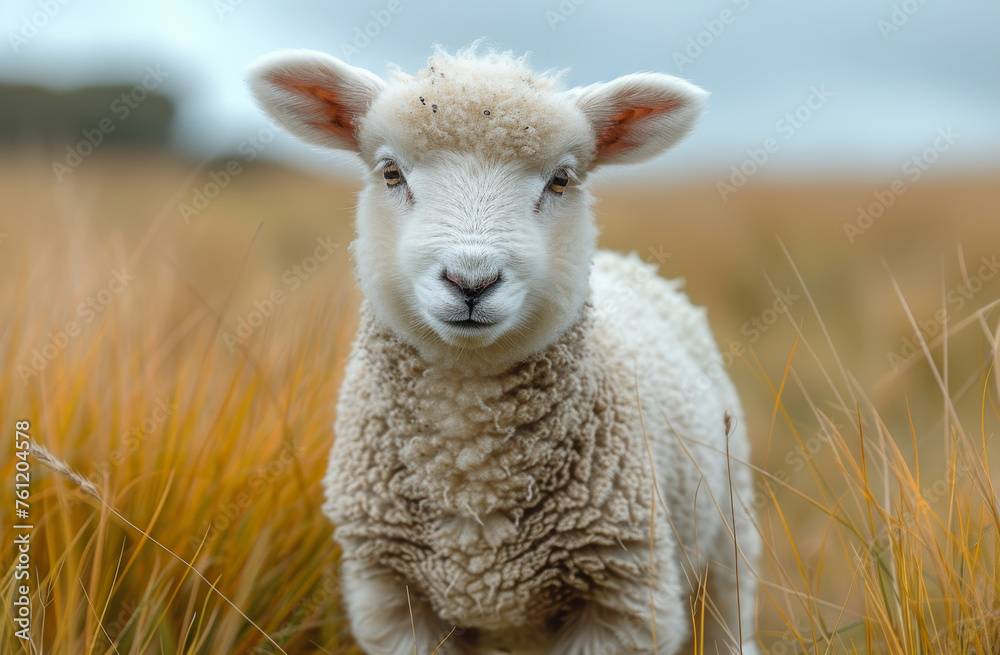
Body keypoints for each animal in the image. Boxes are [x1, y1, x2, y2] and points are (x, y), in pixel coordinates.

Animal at [248, 45, 761, 655]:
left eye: (561, 180)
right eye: (391, 173)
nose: (471, 280)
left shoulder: (625, 596)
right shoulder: (391, 595)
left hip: (728, 541)